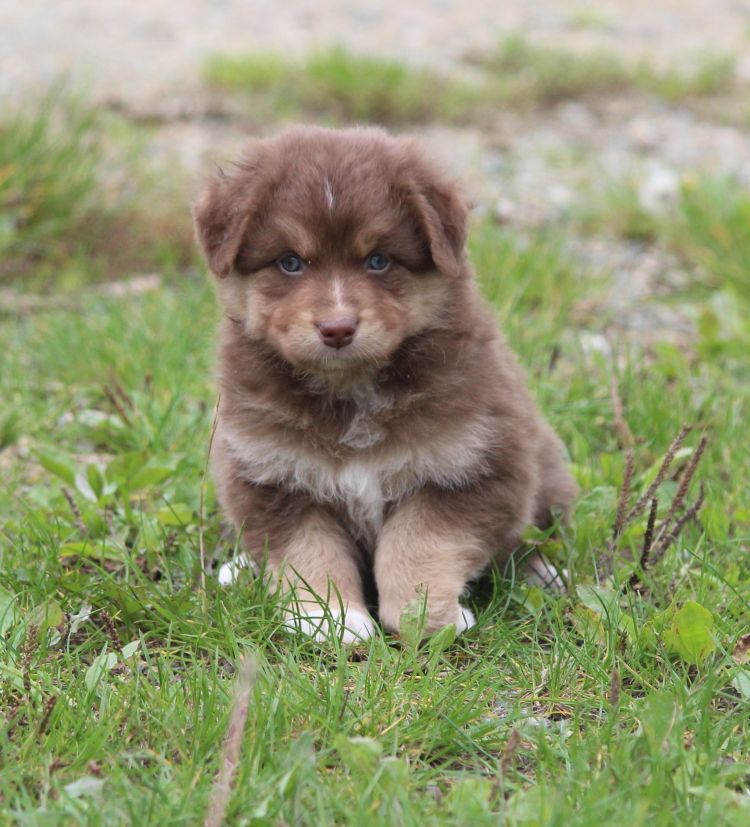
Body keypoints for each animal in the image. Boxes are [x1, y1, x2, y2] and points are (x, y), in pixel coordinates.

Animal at [193, 126, 577, 643]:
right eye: (290, 262)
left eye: (377, 260)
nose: (337, 328)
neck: (351, 393)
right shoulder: (271, 477)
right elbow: (308, 554)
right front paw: (330, 619)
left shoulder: (476, 466)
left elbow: (417, 542)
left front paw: (426, 615)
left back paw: (542, 574)